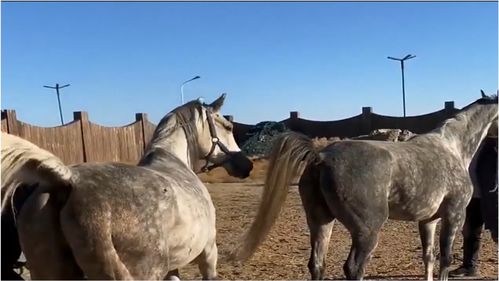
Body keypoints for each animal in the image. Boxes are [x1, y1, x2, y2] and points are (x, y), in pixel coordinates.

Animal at [1, 93, 254, 278]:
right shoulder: (209, 252)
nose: (247, 165)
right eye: (228, 127)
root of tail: (69, 181)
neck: (173, 159)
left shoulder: (173, 267)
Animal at [234, 92, 499, 280]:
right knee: (353, 268)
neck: (451, 147)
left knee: (317, 265)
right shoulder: (454, 214)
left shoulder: (428, 220)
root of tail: (321, 157)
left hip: (320, 222)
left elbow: (428, 258)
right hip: (367, 232)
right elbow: (445, 259)